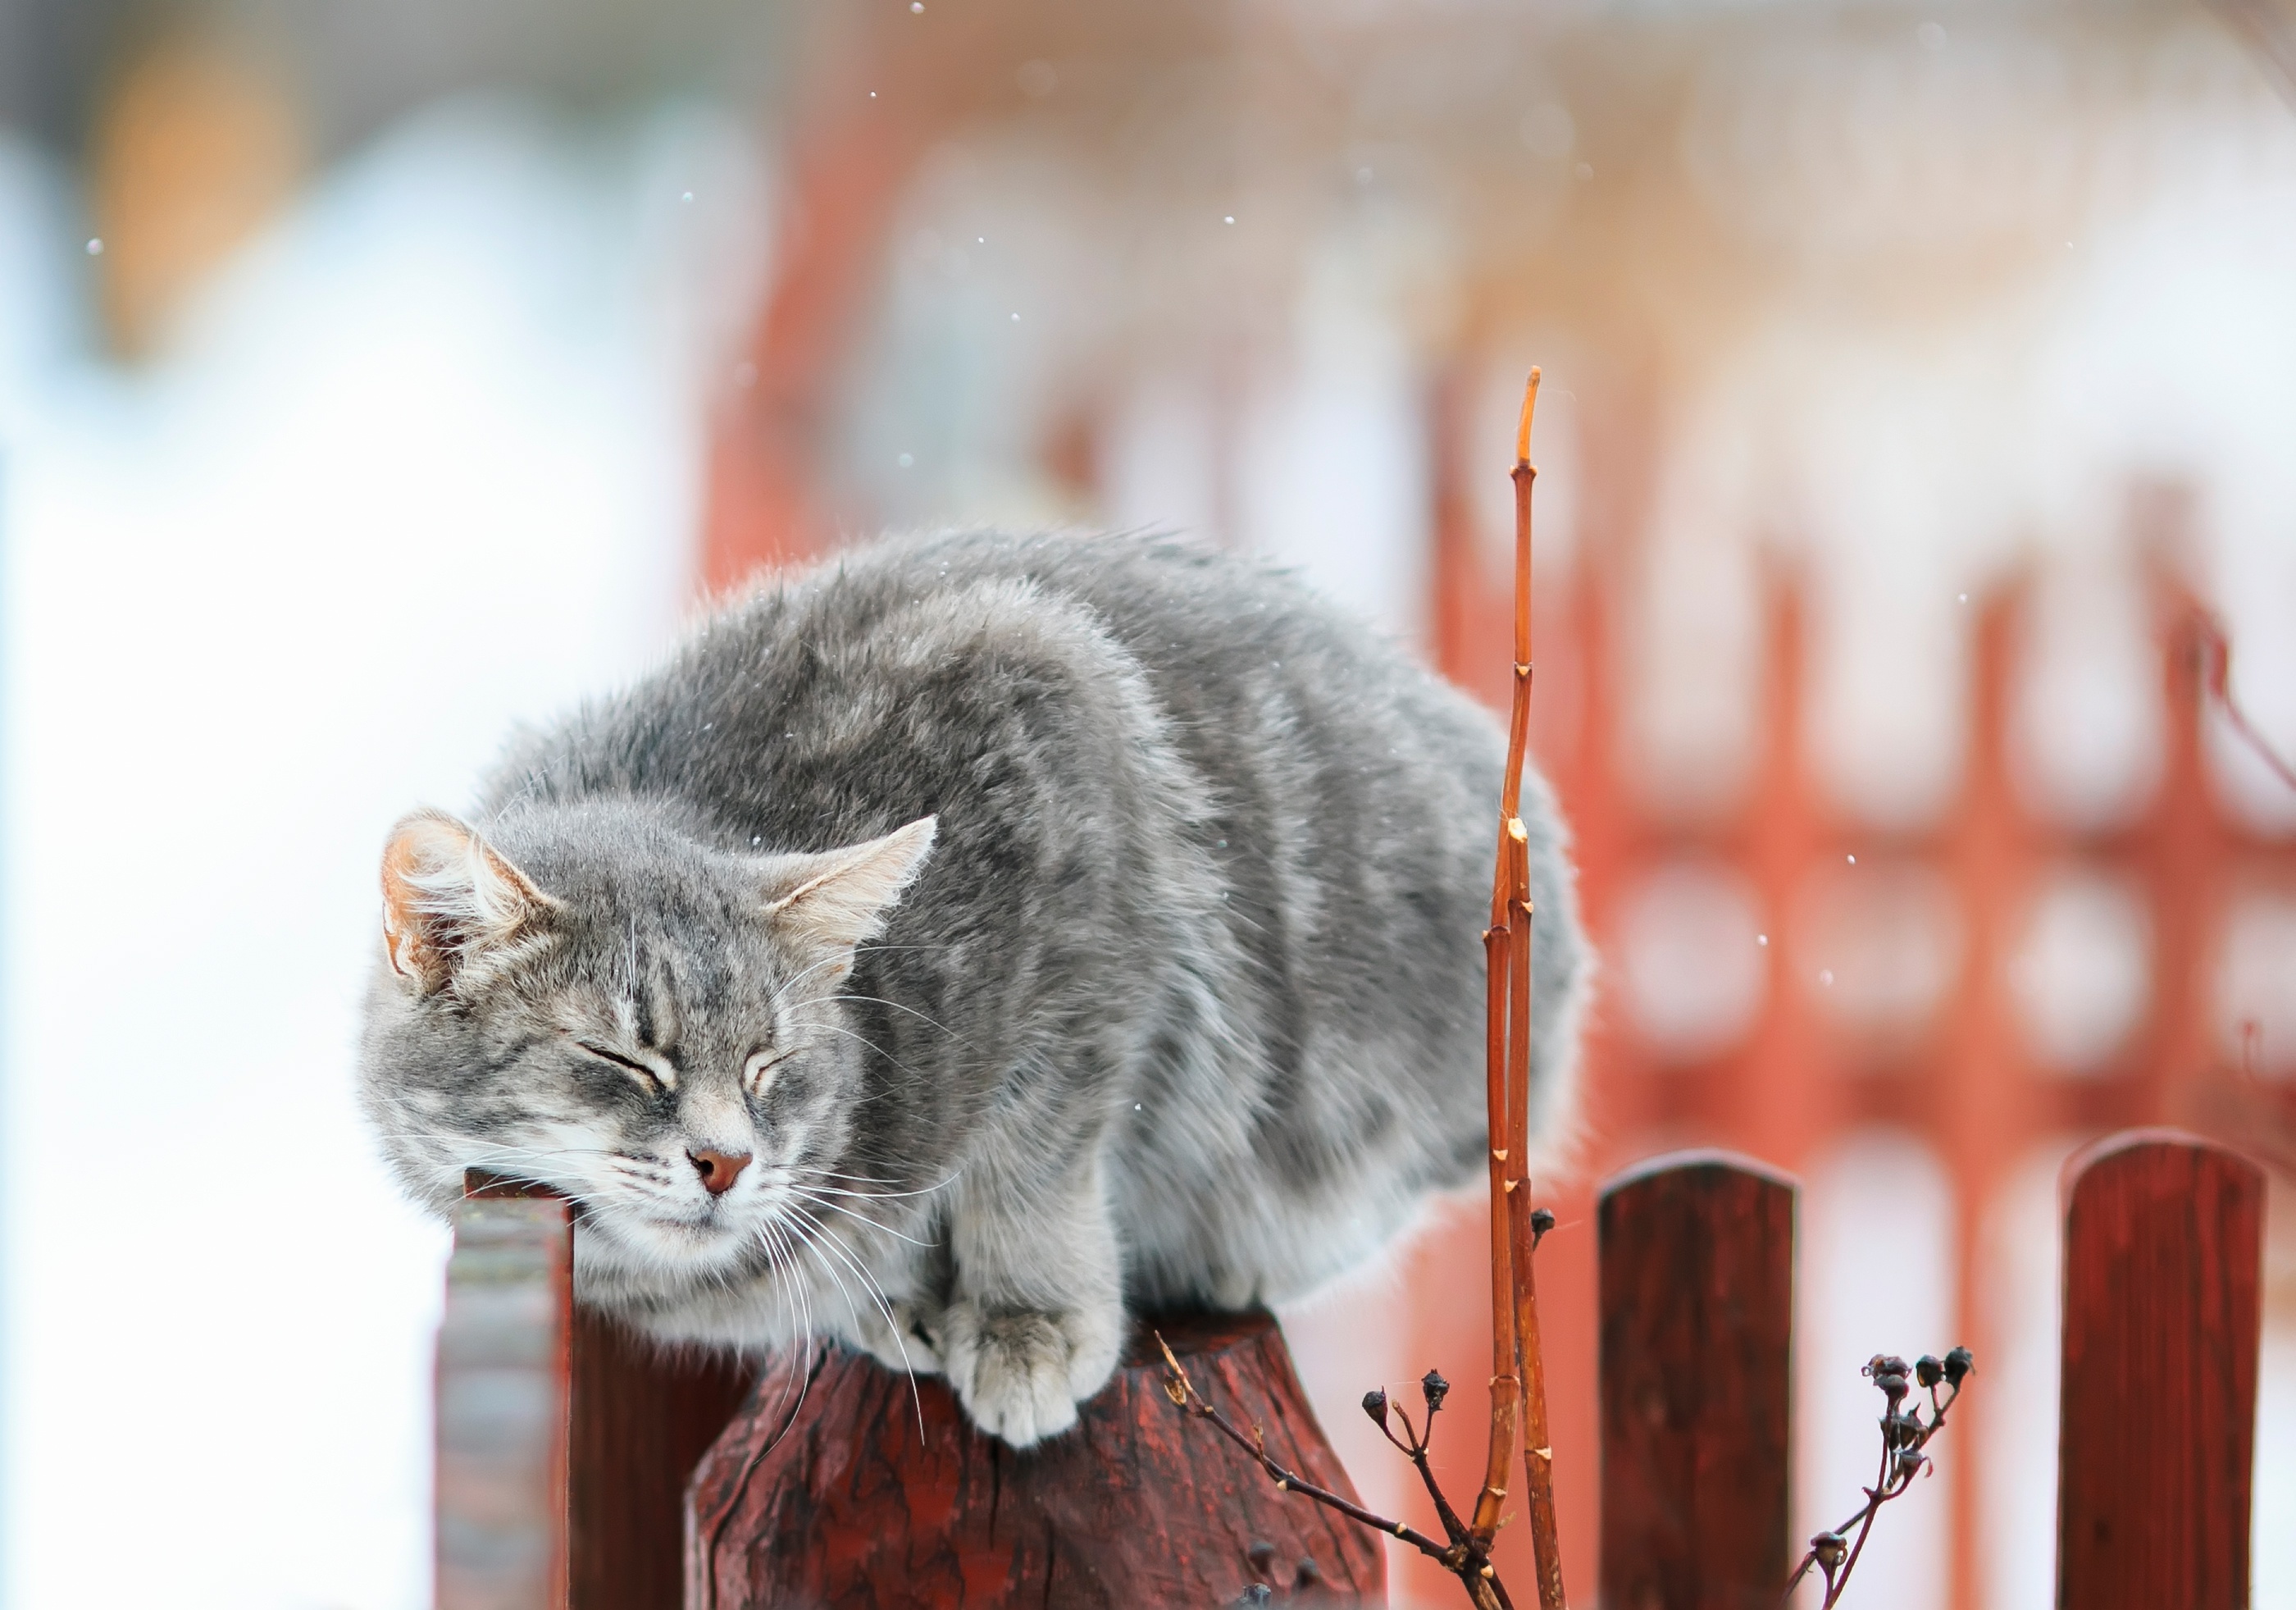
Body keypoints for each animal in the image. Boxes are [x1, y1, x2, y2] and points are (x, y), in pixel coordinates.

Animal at [362, 528, 1579, 1442]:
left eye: (772, 1064)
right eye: (623, 1057)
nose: (727, 1160)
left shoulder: (1067, 822)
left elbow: (1031, 1160)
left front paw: (1026, 1317)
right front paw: (893, 1298)